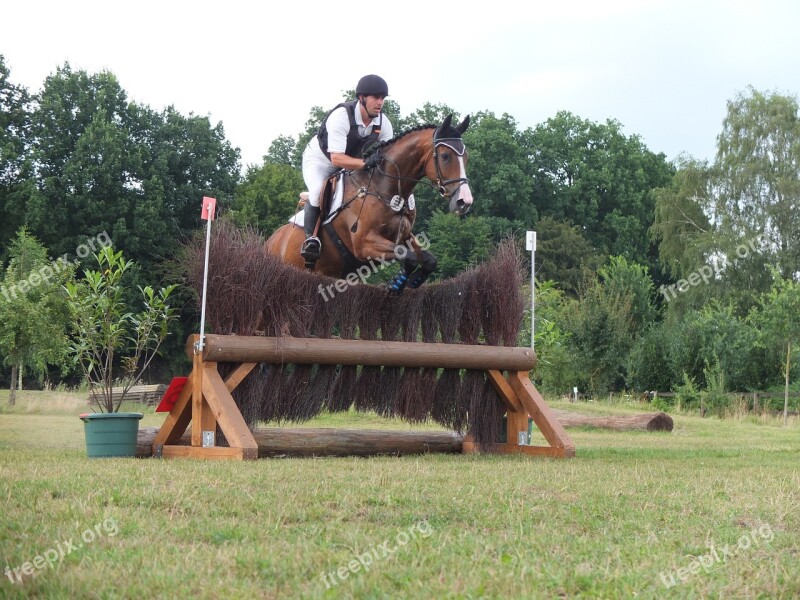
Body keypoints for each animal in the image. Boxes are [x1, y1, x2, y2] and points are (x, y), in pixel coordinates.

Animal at [262, 114, 476, 292]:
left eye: (466, 157)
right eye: (445, 156)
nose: (464, 201)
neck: (386, 188)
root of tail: (270, 241)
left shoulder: (404, 236)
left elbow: (429, 259)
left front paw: (413, 281)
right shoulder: (364, 244)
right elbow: (408, 256)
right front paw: (397, 284)